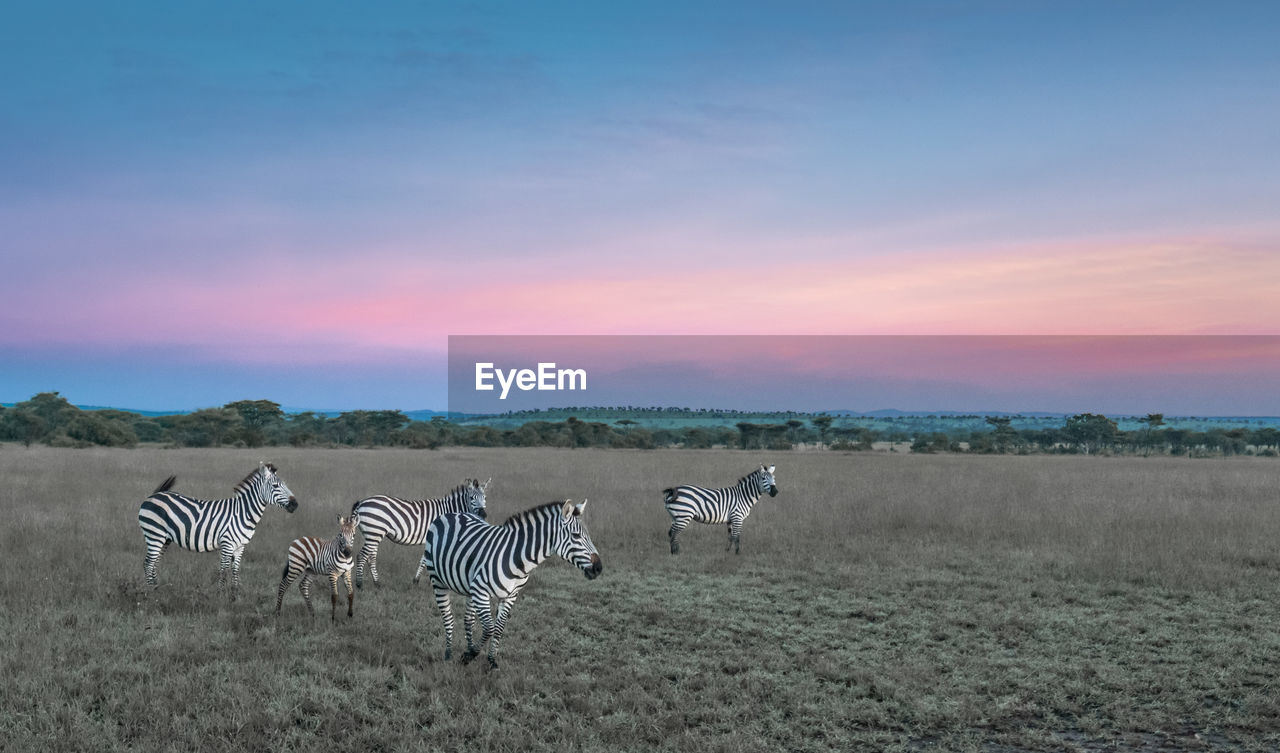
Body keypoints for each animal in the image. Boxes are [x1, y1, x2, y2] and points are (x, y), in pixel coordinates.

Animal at [138, 458, 298, 594]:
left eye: (285, 484)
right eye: (275, 486)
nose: (295, 504)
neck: (243, 513)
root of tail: (154, 495)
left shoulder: (240, 546)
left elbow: (235, 570)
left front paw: (234, 595)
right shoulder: (227, 543)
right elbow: (223, 570)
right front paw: (221, 595)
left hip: (165, 539)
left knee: (154, 563)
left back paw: (157, 589)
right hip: (155, 535)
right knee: (148, 563)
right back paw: (151, 592)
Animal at [350, 476, 488, 589]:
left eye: (485, 498)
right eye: (472, 498)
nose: (483, 514)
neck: (449, 511)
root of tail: (362, 503)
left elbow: (425, 560)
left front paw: (416, 580)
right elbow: (432, 559)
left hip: (374, 534)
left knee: (371, 557)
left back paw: (377, 583)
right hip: (374, 533)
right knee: (362, 556)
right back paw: (359, 584)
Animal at [414, 499, 604, 665]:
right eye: (576, 535)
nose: (599, 568)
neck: (517, 558)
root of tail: (450, 514)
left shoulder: (510, 595)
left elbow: (498, 629)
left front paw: (490, 661)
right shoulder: (481, 592)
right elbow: (489, 628)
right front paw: (470, 655)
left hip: (469, 588)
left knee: (468, 620)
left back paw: (467, 647)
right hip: (438, 580)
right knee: (448, 618)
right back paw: (448, 654)